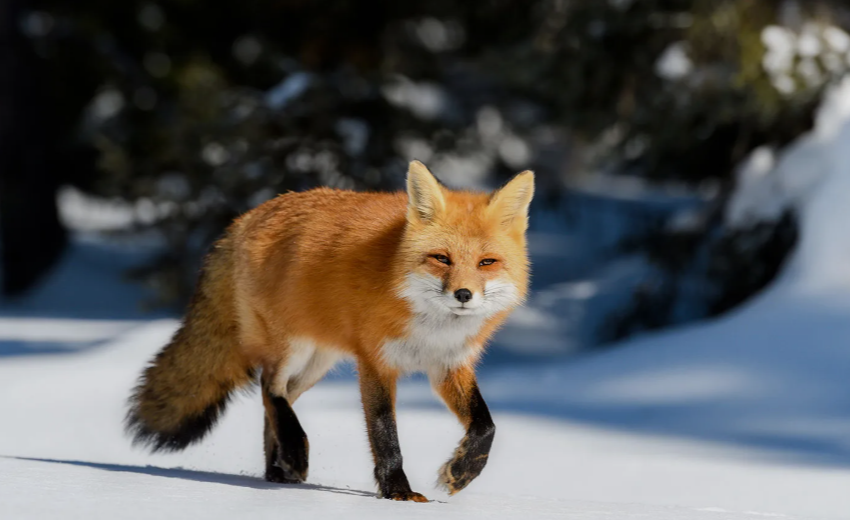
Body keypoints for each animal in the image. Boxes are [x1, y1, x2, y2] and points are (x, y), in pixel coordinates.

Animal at [126, 160, 534, 502]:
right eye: (441, 259)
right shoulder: (375, 362)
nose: (463, 294)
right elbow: (385, 434)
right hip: (291, 348)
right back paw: (293, 453)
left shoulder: (449, 365)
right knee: (268, 388)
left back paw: (278, 471)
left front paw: (461, 472)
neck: (430, 328)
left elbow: (486, 425)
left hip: (316, 364)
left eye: (487, 262)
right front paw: (398, 493)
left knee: (275, 404)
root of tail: (247, 217)